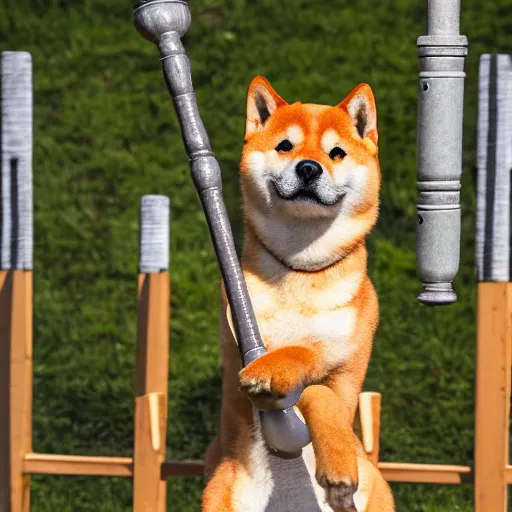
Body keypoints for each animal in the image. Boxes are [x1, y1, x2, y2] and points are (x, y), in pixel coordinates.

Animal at [202, 77, 394, 512]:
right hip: (219, 488)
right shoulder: (239, 332)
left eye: (336, 152)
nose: (308, 167)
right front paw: (272, 366)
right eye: (285, 146)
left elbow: (316, 375)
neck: (301, 269)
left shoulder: (345, 369)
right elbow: (278, 354)